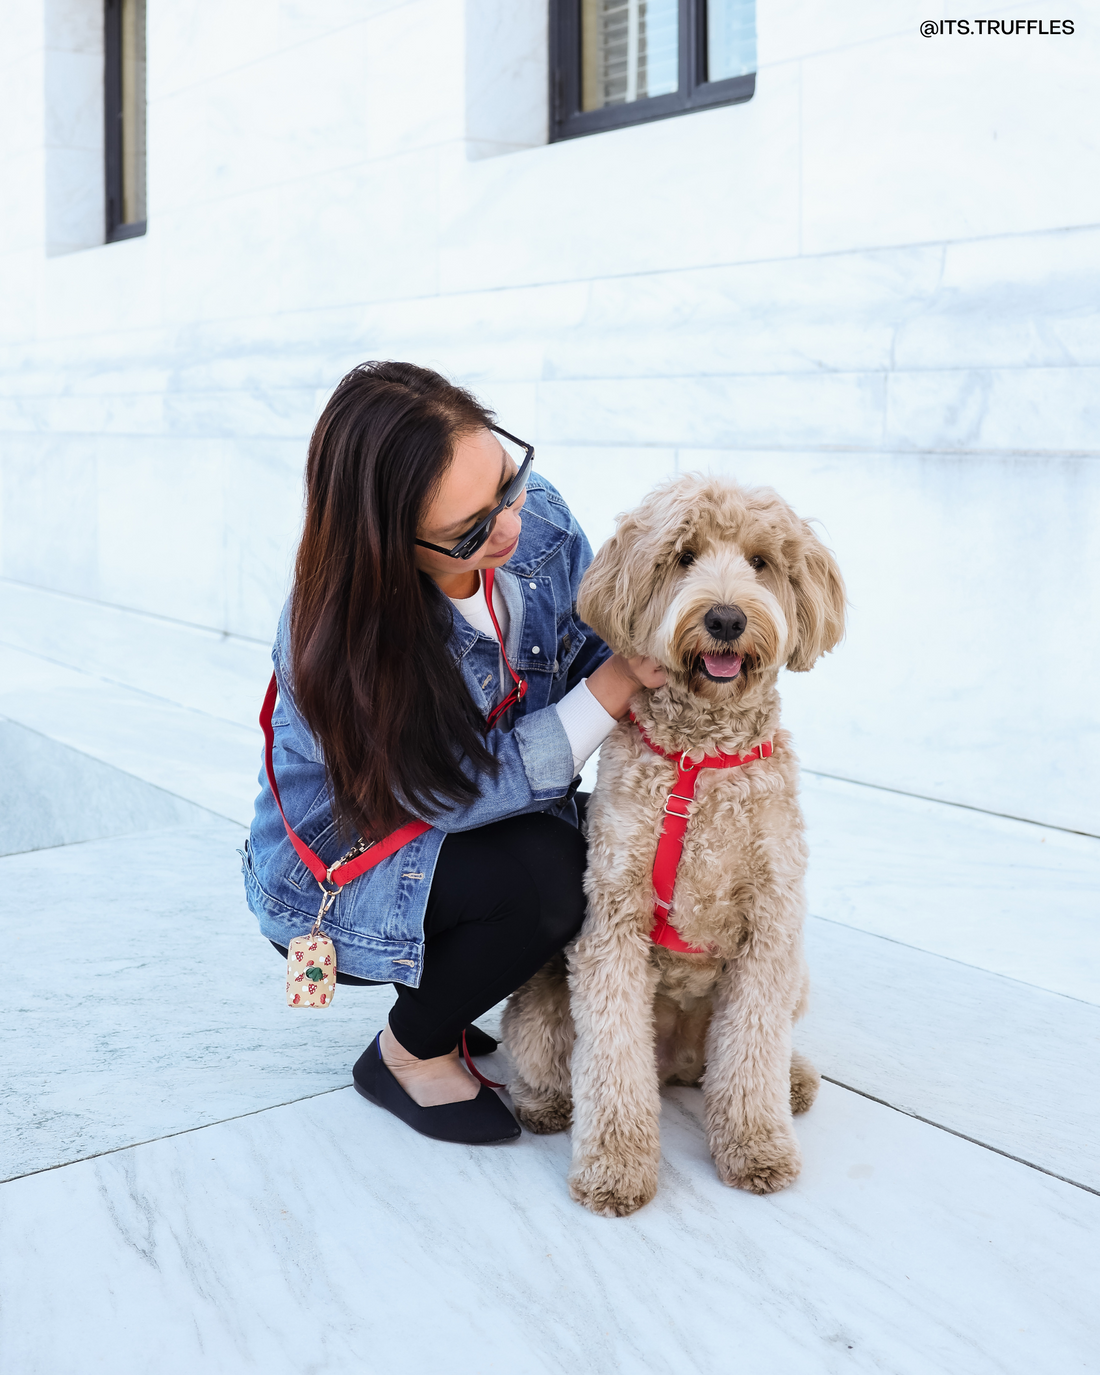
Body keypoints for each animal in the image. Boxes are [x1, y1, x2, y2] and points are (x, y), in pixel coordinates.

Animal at [503, 473, 847, 1215]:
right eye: (684, 556)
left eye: (760, 561)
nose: (725, 619)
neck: (703, 758)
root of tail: (682, 1066)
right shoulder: (612, 922)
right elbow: (610, 1061)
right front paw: (614, 1168)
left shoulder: (772, 927)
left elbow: (752, 1053)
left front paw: (756, 1148)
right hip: (545, 991)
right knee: (543, 1055)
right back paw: (542, 1104)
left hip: (795, 975)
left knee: (750, 1054)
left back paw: (793, 1079)